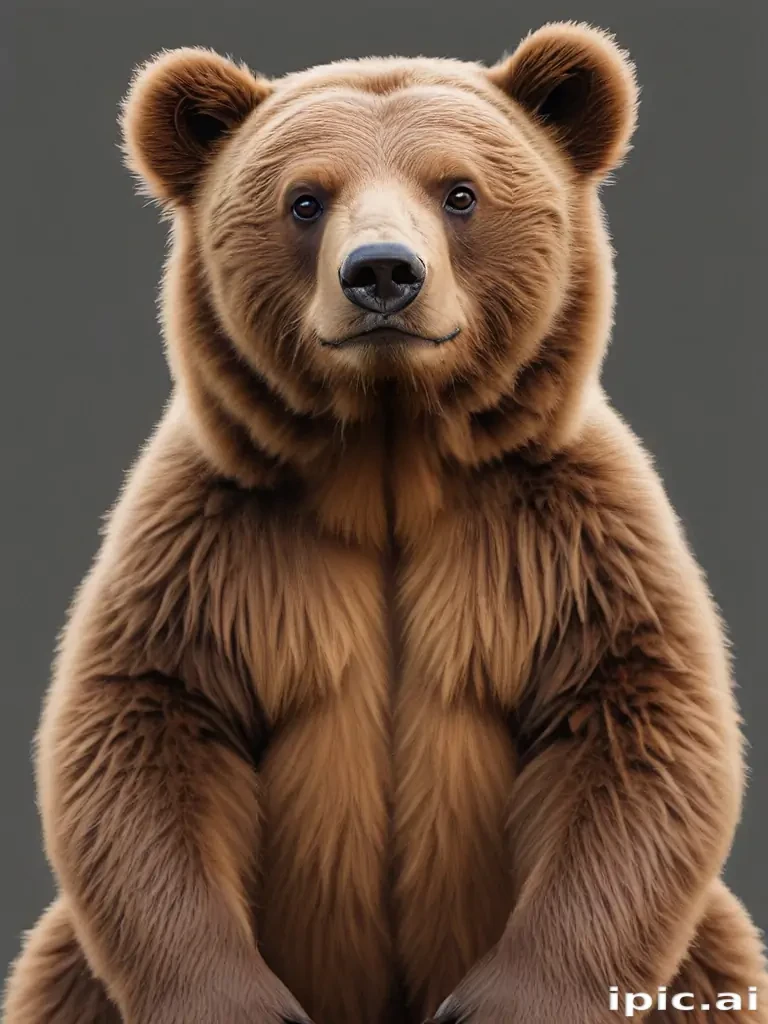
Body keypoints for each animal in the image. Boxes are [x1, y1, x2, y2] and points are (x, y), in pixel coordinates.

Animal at [4, 19, 767, 1024]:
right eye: (304, 199)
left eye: (459, 192)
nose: (382, 275)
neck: (388, 458)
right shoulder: (210, 541)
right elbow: (143, 723)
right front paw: (240, 1002)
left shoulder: (567, 536)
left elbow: (636, 722)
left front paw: (503, 1001)